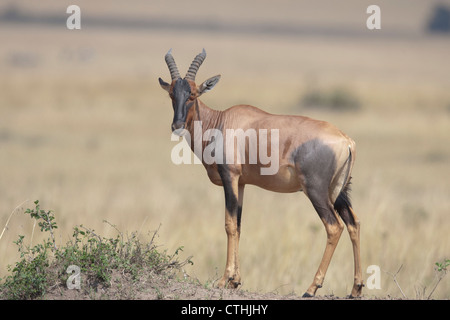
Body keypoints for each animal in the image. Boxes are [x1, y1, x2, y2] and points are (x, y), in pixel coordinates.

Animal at [158, 48, 362, 298]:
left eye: (193, 95)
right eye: (172, 94)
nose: (176, 126)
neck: (221, 122)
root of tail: (346, 141)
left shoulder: (230, 177)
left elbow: (228, 224)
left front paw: (224, 280)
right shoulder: (241, 183)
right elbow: (238, 224)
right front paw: (235, 281)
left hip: (316, 191)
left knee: (334, 227)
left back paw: (311, 288)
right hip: (339, 191)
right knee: (354, 224)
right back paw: (356, 288)